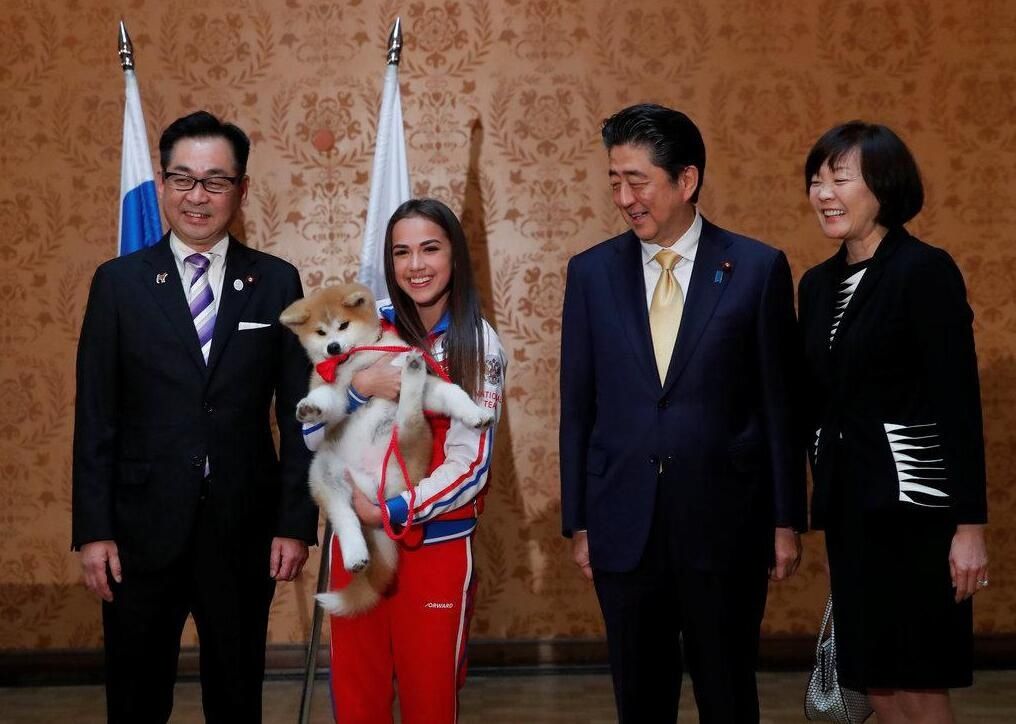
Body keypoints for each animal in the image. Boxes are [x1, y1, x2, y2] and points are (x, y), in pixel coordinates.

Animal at [278, 284, 491, 617]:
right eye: (321, 332)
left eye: (343, 325)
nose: (333, 348)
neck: (360, 359)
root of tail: (375, 491)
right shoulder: (336, 393)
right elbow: (326, 398)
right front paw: (311, 408)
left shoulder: (427, 386)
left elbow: (452, 392)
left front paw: (475, 413)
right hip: (325, 472)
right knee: (345, 517)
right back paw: (355, 554)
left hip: (408, 444)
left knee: (410, 411)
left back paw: (413, 369)